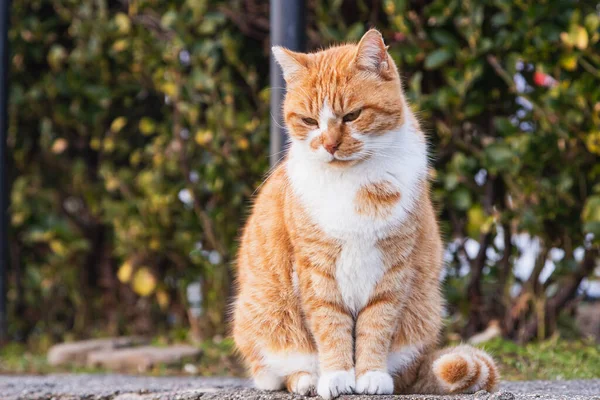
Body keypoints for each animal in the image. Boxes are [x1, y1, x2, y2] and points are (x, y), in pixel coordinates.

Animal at [232, 28, 500, 400]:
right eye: (310, 121)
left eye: (352, 116)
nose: (329, 145)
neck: (353, 182)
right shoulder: (317, 269)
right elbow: (331, 325)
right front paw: (336, 376)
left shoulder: (393, 267)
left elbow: (377, 324)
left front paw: (371, 375)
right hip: (265, 320)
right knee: (276, 374)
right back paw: (306, 380)